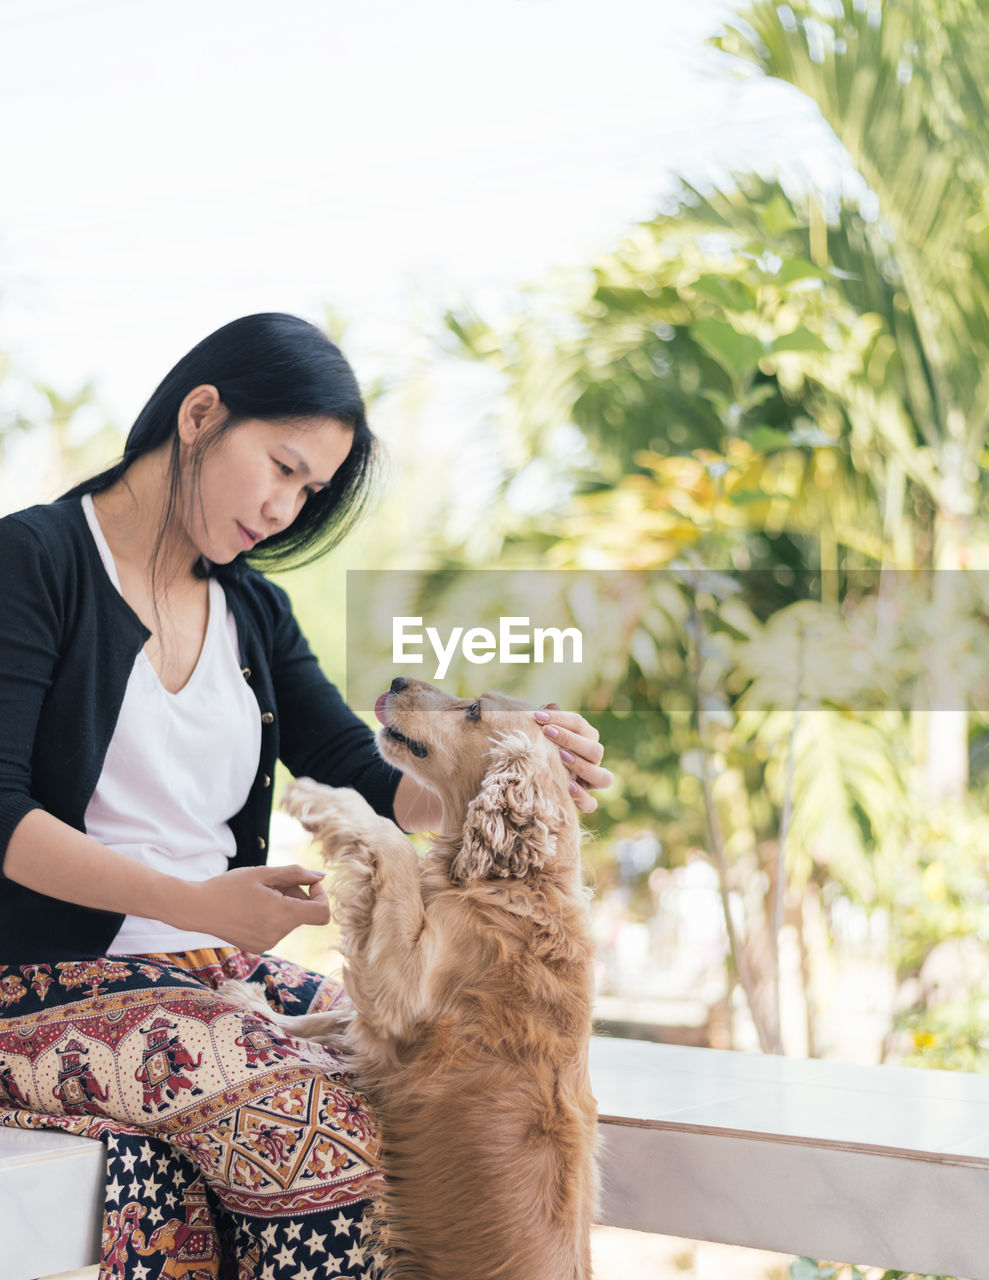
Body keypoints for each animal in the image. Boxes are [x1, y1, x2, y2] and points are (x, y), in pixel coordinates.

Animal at [236, 680, 598, 1280]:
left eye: (473, 710)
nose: (399, 682)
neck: (518, 882)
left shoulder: (402, 992)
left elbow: (393, 843)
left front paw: (323, 797)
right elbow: (328, 1016)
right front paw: (251, 1003)